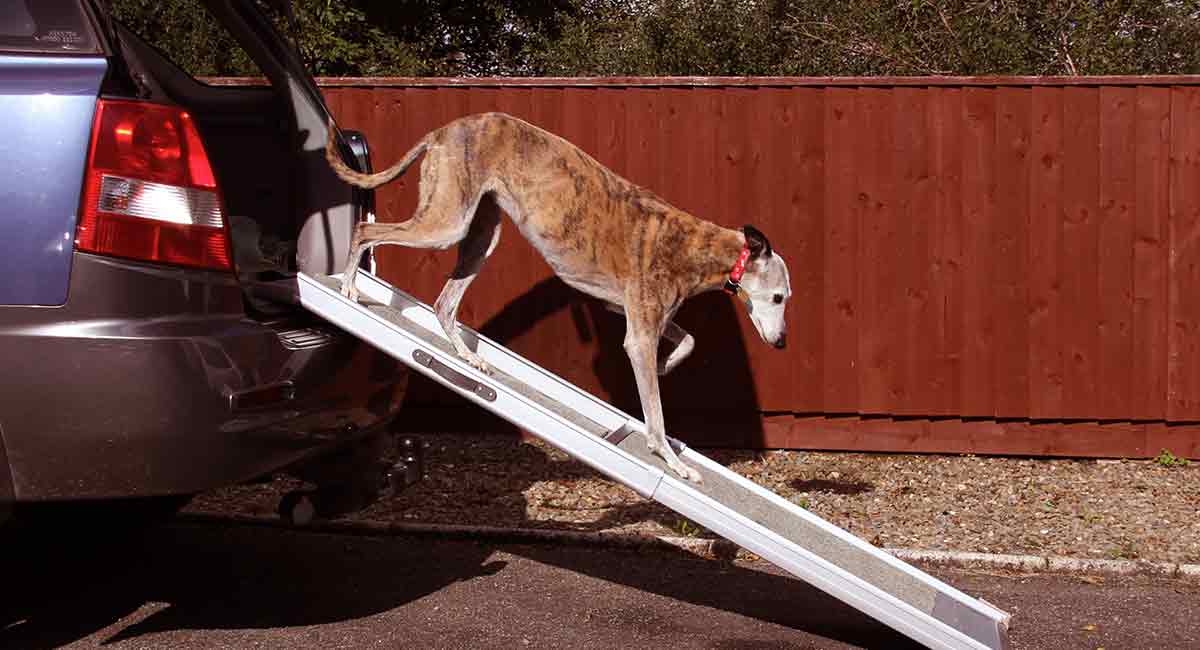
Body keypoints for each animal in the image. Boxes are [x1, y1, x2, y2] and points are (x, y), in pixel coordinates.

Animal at [326, 112, 787, 482]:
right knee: (366, 230)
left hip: (481, 236)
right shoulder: (638, 335)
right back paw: (349, 285)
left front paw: (667, 363)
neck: (695, 245)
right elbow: (655, 417)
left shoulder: (632, 311)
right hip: (446, 224)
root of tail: (445, 130)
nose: (781, 343)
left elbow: (688, 340)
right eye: (781, 297)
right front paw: (674, 463)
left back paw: (468, 356)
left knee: (444, 304)